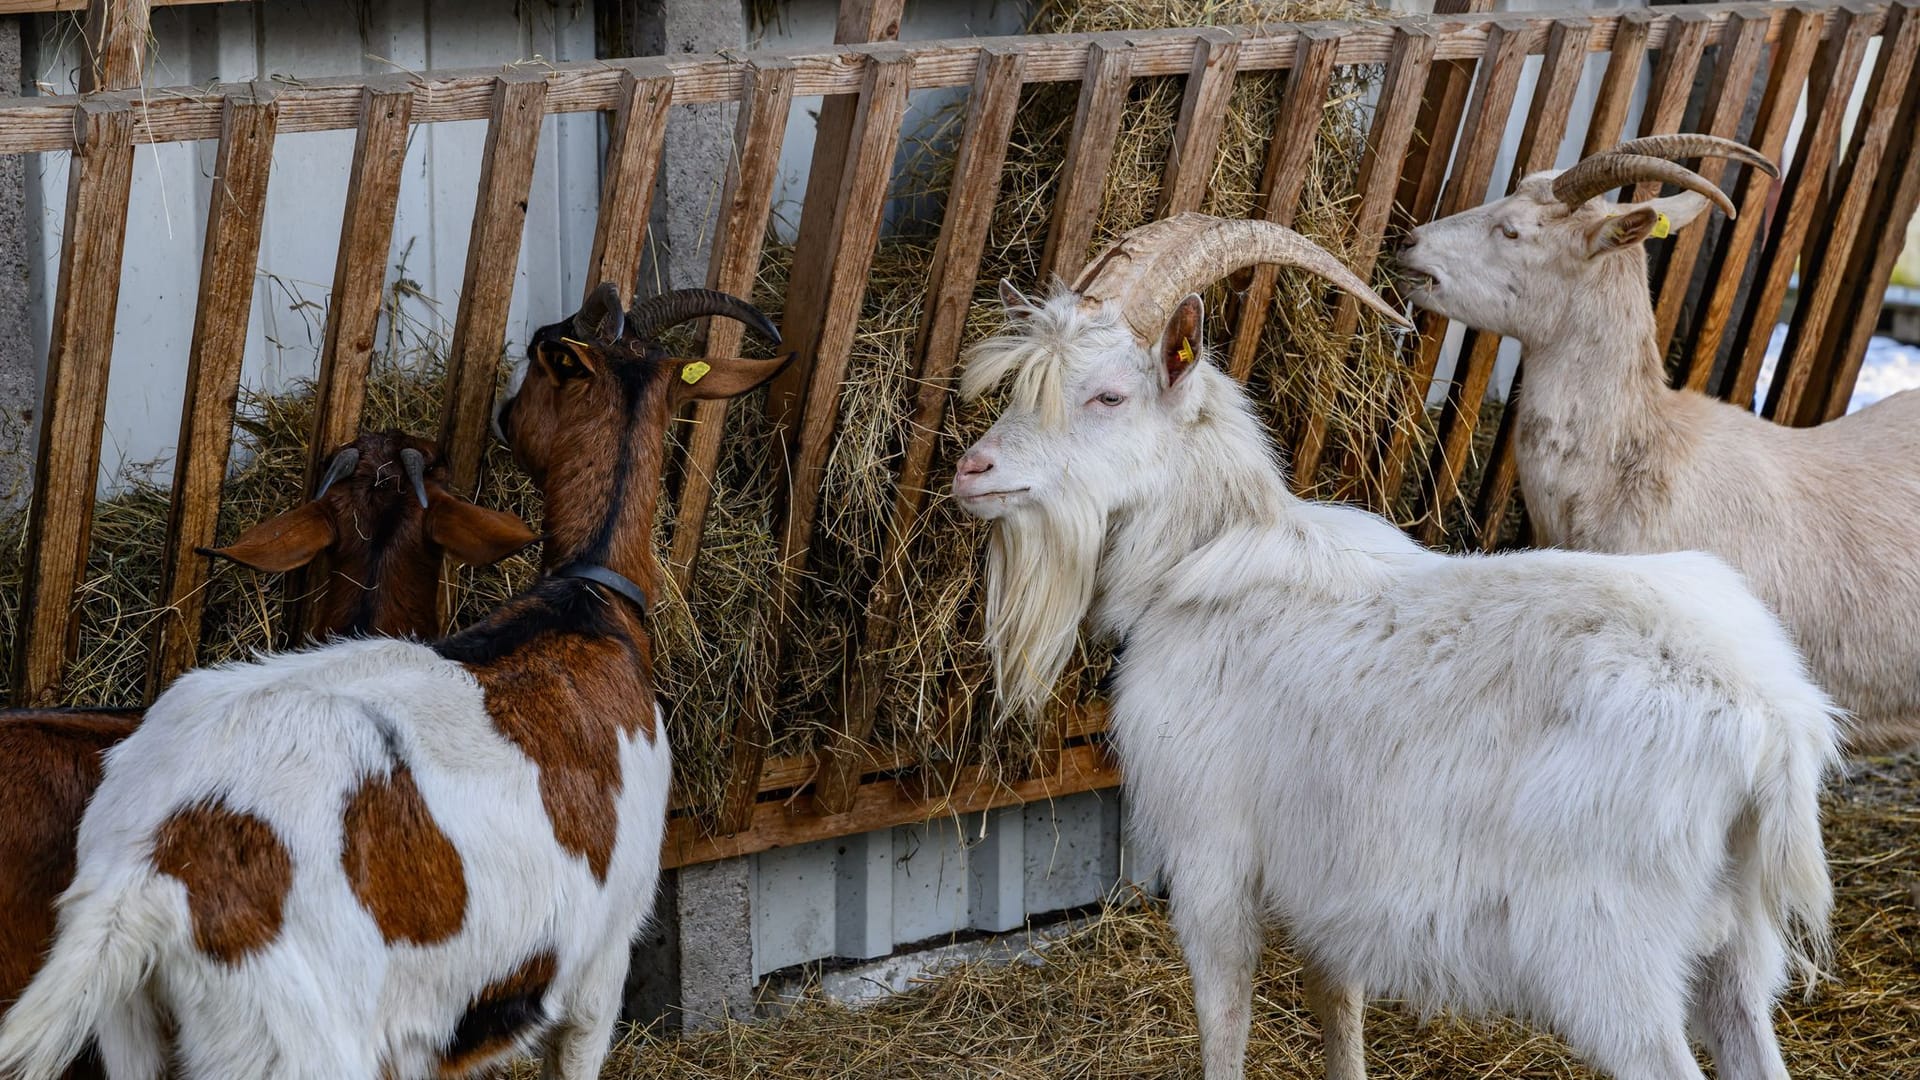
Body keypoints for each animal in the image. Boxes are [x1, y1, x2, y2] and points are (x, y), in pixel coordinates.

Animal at [960, 210, 1843, 1076]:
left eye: (1107, 395)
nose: (974, 471)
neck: (1200, 560)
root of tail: (1771, 723)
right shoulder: (1329, 882)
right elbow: (1337, 1001)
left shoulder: (1212, 855)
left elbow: (1225, 1022)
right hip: (1737, 950)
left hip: (1609, 956)